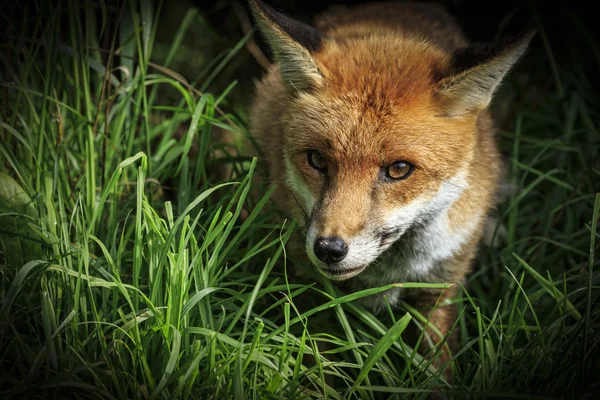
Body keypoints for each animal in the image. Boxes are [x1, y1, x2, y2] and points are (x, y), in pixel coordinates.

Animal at [246, 0, 532, 380]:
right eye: (317, 160)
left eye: (398, 169)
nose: (329, 249)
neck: (385, 275)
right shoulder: (307, 291)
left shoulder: (438, 294)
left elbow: (439, 372)